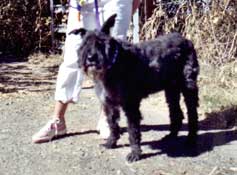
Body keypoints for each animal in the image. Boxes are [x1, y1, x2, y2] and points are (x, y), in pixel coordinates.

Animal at [69, 14, 199, 162]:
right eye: (84, 44)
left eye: (101, 42)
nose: (91, 58)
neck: (115, 63)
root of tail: (187, 41)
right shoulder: (109, 104)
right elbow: (113, 125)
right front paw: (111, 143)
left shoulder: (130, 105)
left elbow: (133, 130)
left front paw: (135, 153)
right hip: (171, 91)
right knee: (176, 113)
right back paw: (171, 136)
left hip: (188, 88)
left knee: (192, 114)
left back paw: (191, 139)